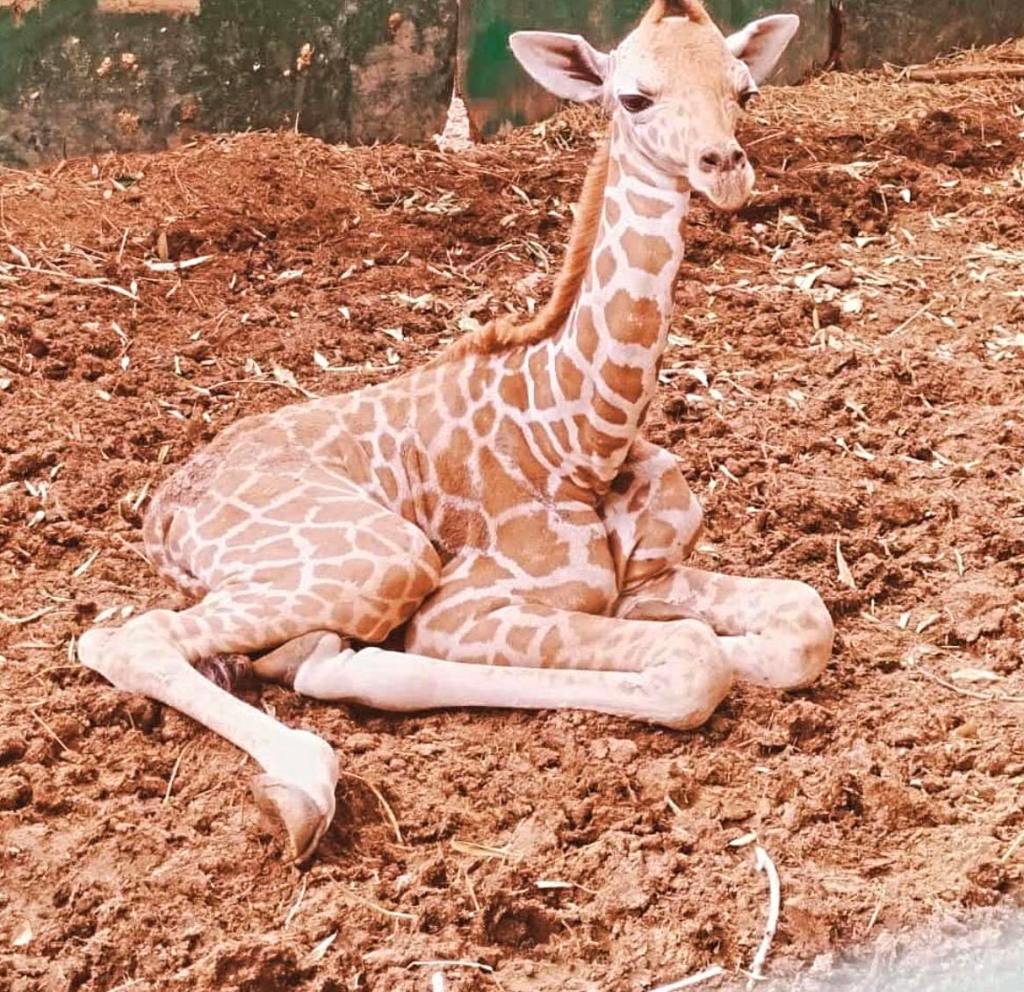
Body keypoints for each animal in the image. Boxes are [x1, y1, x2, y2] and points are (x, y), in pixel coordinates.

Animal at [77, 1, 831, 859]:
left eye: (745, 92)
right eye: (635, 97)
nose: (725, 167)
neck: (583, 439)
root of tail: (161, 508)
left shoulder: (645, 581)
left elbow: (804, 620)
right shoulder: (462, 609)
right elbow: (692, 660)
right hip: (384, 557)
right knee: (125, 638)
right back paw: (301, 783)